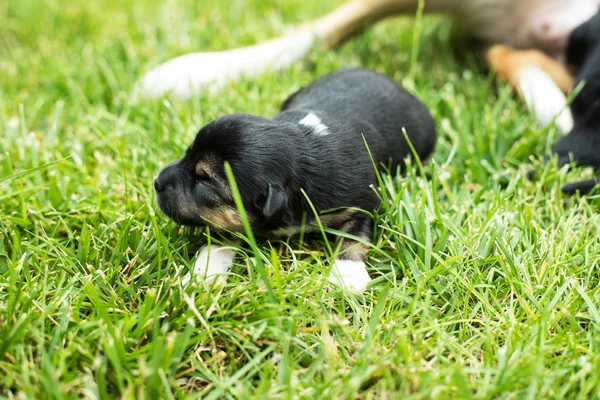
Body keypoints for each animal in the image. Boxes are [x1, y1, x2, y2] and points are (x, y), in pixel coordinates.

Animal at [155, 68, 436, 290]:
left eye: (203, 180)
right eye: (187, 153)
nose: (156, 182)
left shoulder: (362, 201)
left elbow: (353, 237)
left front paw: (347, 276)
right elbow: (222, 236)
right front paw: (203, 272)